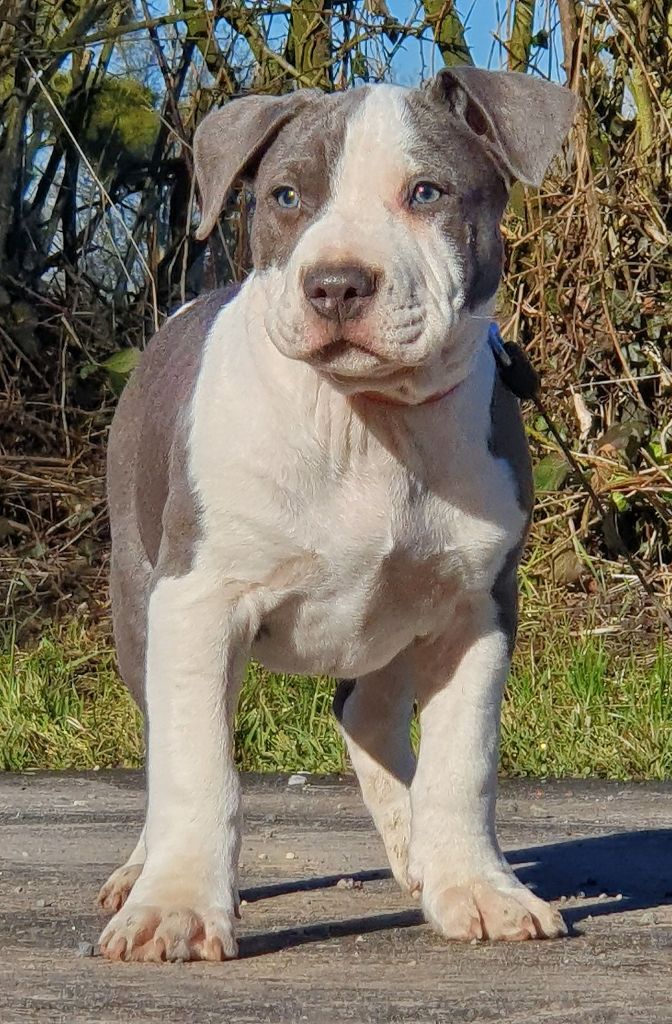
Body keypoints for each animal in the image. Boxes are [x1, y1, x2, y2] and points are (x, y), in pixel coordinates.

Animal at [98, 68, 576, 961]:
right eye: (287, 196)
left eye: (426, 192)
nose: (336, 283)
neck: (364, 421)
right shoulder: (198, 602)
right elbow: (195, 767)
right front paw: (174, 907)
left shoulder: (476, 610)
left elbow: (464, 764)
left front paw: (477, 888)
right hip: (137, 603)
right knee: (165, 732)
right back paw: (138, 871)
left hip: (398, 615)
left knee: (367, 713)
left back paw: (417, 848)